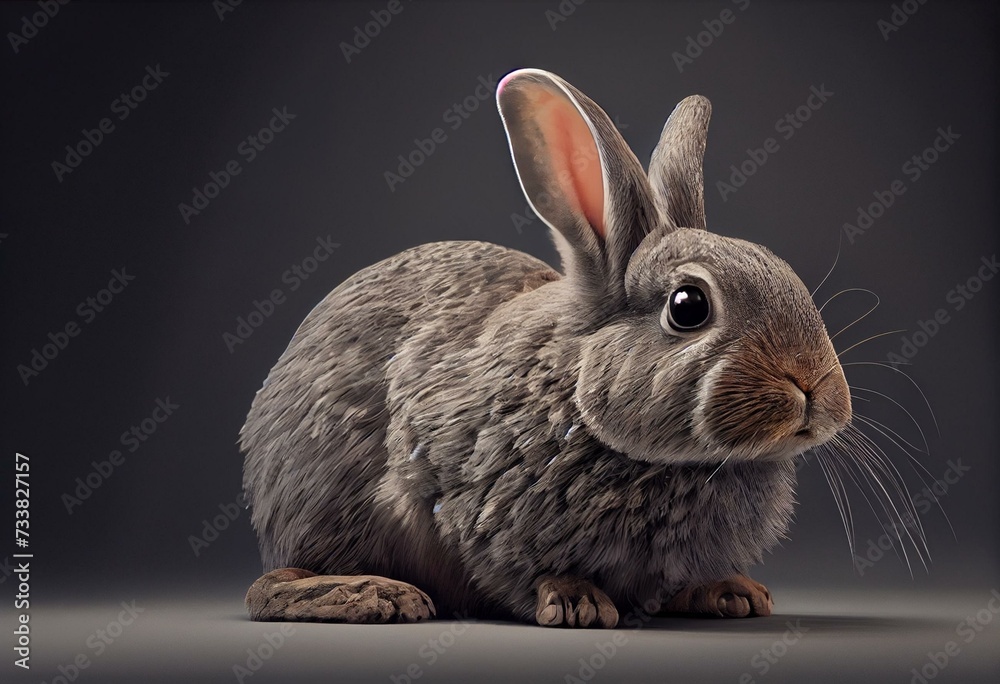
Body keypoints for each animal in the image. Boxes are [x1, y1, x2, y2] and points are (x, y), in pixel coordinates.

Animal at [240, 68, 852, 628]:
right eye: (688, 306)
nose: (816, 389)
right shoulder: (475, 504)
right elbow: (524, 569)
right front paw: (579, 604)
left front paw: (731, 593)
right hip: (329, 505)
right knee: (271, 586)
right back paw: (379, 595)